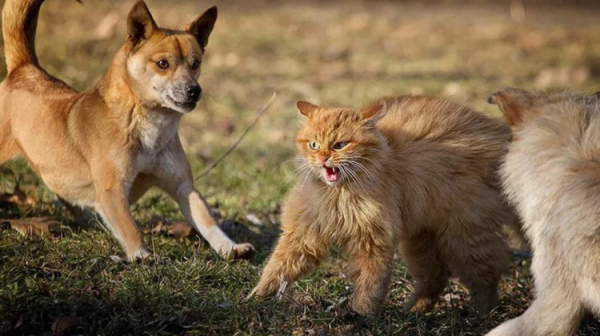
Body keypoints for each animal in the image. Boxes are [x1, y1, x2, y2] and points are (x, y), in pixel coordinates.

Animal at [0, 0, 253, 262]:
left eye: (195, 64)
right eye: (163, 64)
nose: (195, 90)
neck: (147, 126)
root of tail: (25, 69)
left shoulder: (182, 186)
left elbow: (206, 219)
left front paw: (230, 247)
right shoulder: (113, 191)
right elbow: (129, 226)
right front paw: (142, 255)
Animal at [251, 95, 512, 316]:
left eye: (340, 145)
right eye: (313, 145)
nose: (323, 158)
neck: (339, 196)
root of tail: (499, 136)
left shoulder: (373, 241)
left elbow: (370, 284)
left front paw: (361, 315)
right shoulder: (304, 234)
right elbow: (277, 267)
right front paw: (256, 298)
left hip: (465, 235)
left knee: (486, 278)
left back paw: (479, 314)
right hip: (421, 240)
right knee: (436, 277)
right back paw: (413, 311)